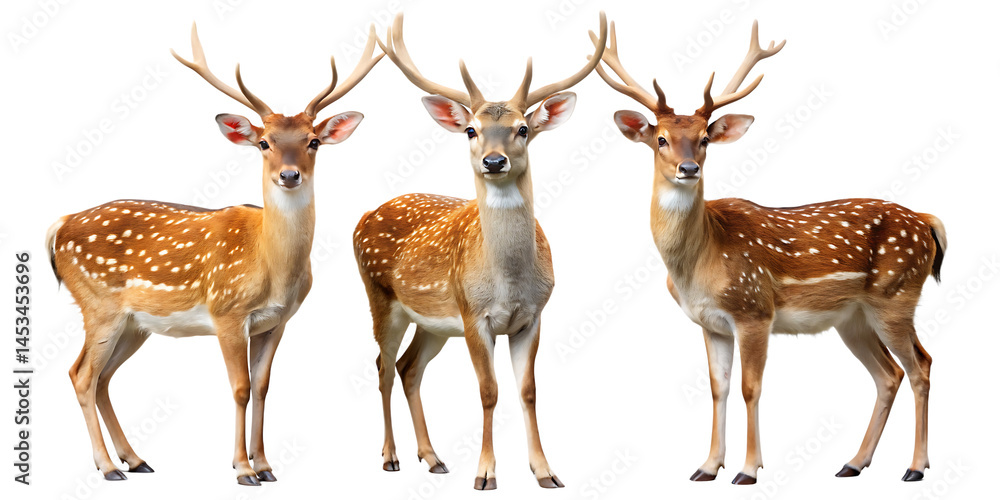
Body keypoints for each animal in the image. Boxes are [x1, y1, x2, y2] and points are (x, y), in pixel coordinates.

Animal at [45, 23, 382, 486]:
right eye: (263, 142)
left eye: (313, 141)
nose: (289, 175)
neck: (273, 268)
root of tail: (59, 226)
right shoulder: (227, 312)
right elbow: (239, 388)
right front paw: (242, 469)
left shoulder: (277, 321)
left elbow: (262, 387)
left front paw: (266, 465)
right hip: (98, 304)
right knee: (81, 374)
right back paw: (109, 467)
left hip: (135, 323)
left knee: (104, 378)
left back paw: (136, 459)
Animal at [350, 12, 607, 491]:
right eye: (471, 129)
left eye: (523, 128)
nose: (493, 161)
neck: (507, 283)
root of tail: (366, 215)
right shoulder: (474, 315)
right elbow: (489, 391)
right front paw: (486, 474)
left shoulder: (533, 316)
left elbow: (528, 390)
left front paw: (546, 472)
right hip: (380, 296)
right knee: (381, 365)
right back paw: (391, 457)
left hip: (432, 322)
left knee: (409, 368)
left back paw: (433, 458)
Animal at [589, 21, 946, 484]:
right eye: (661, 139)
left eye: (705, 139)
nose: (689, 168)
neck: (699, 266)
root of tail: (926, 221)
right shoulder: (711, 323)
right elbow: (718, 387)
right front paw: (706, 467)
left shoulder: (754, 309)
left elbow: (750, 387)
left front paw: (748, 469)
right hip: (854, 318)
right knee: (889, 374)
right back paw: (853, 463)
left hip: (896, 295)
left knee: (921, 365)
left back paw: (915, 468)